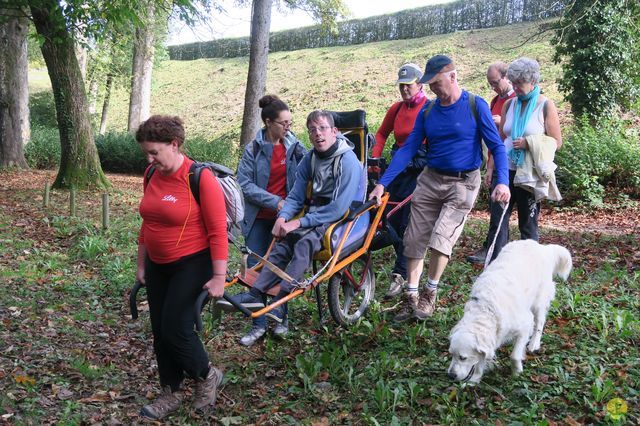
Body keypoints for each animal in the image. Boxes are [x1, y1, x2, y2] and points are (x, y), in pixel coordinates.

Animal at [448, 240, 572, 382]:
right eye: (451, 354)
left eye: (463, 358)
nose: (450, 375)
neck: (487, 309)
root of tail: (541, 247)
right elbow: (481, 360)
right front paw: (474, 379)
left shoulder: (525, 325)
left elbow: (514, 355)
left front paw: (517, 371)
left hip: (538, 302)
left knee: (539, 323)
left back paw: (534, 343)